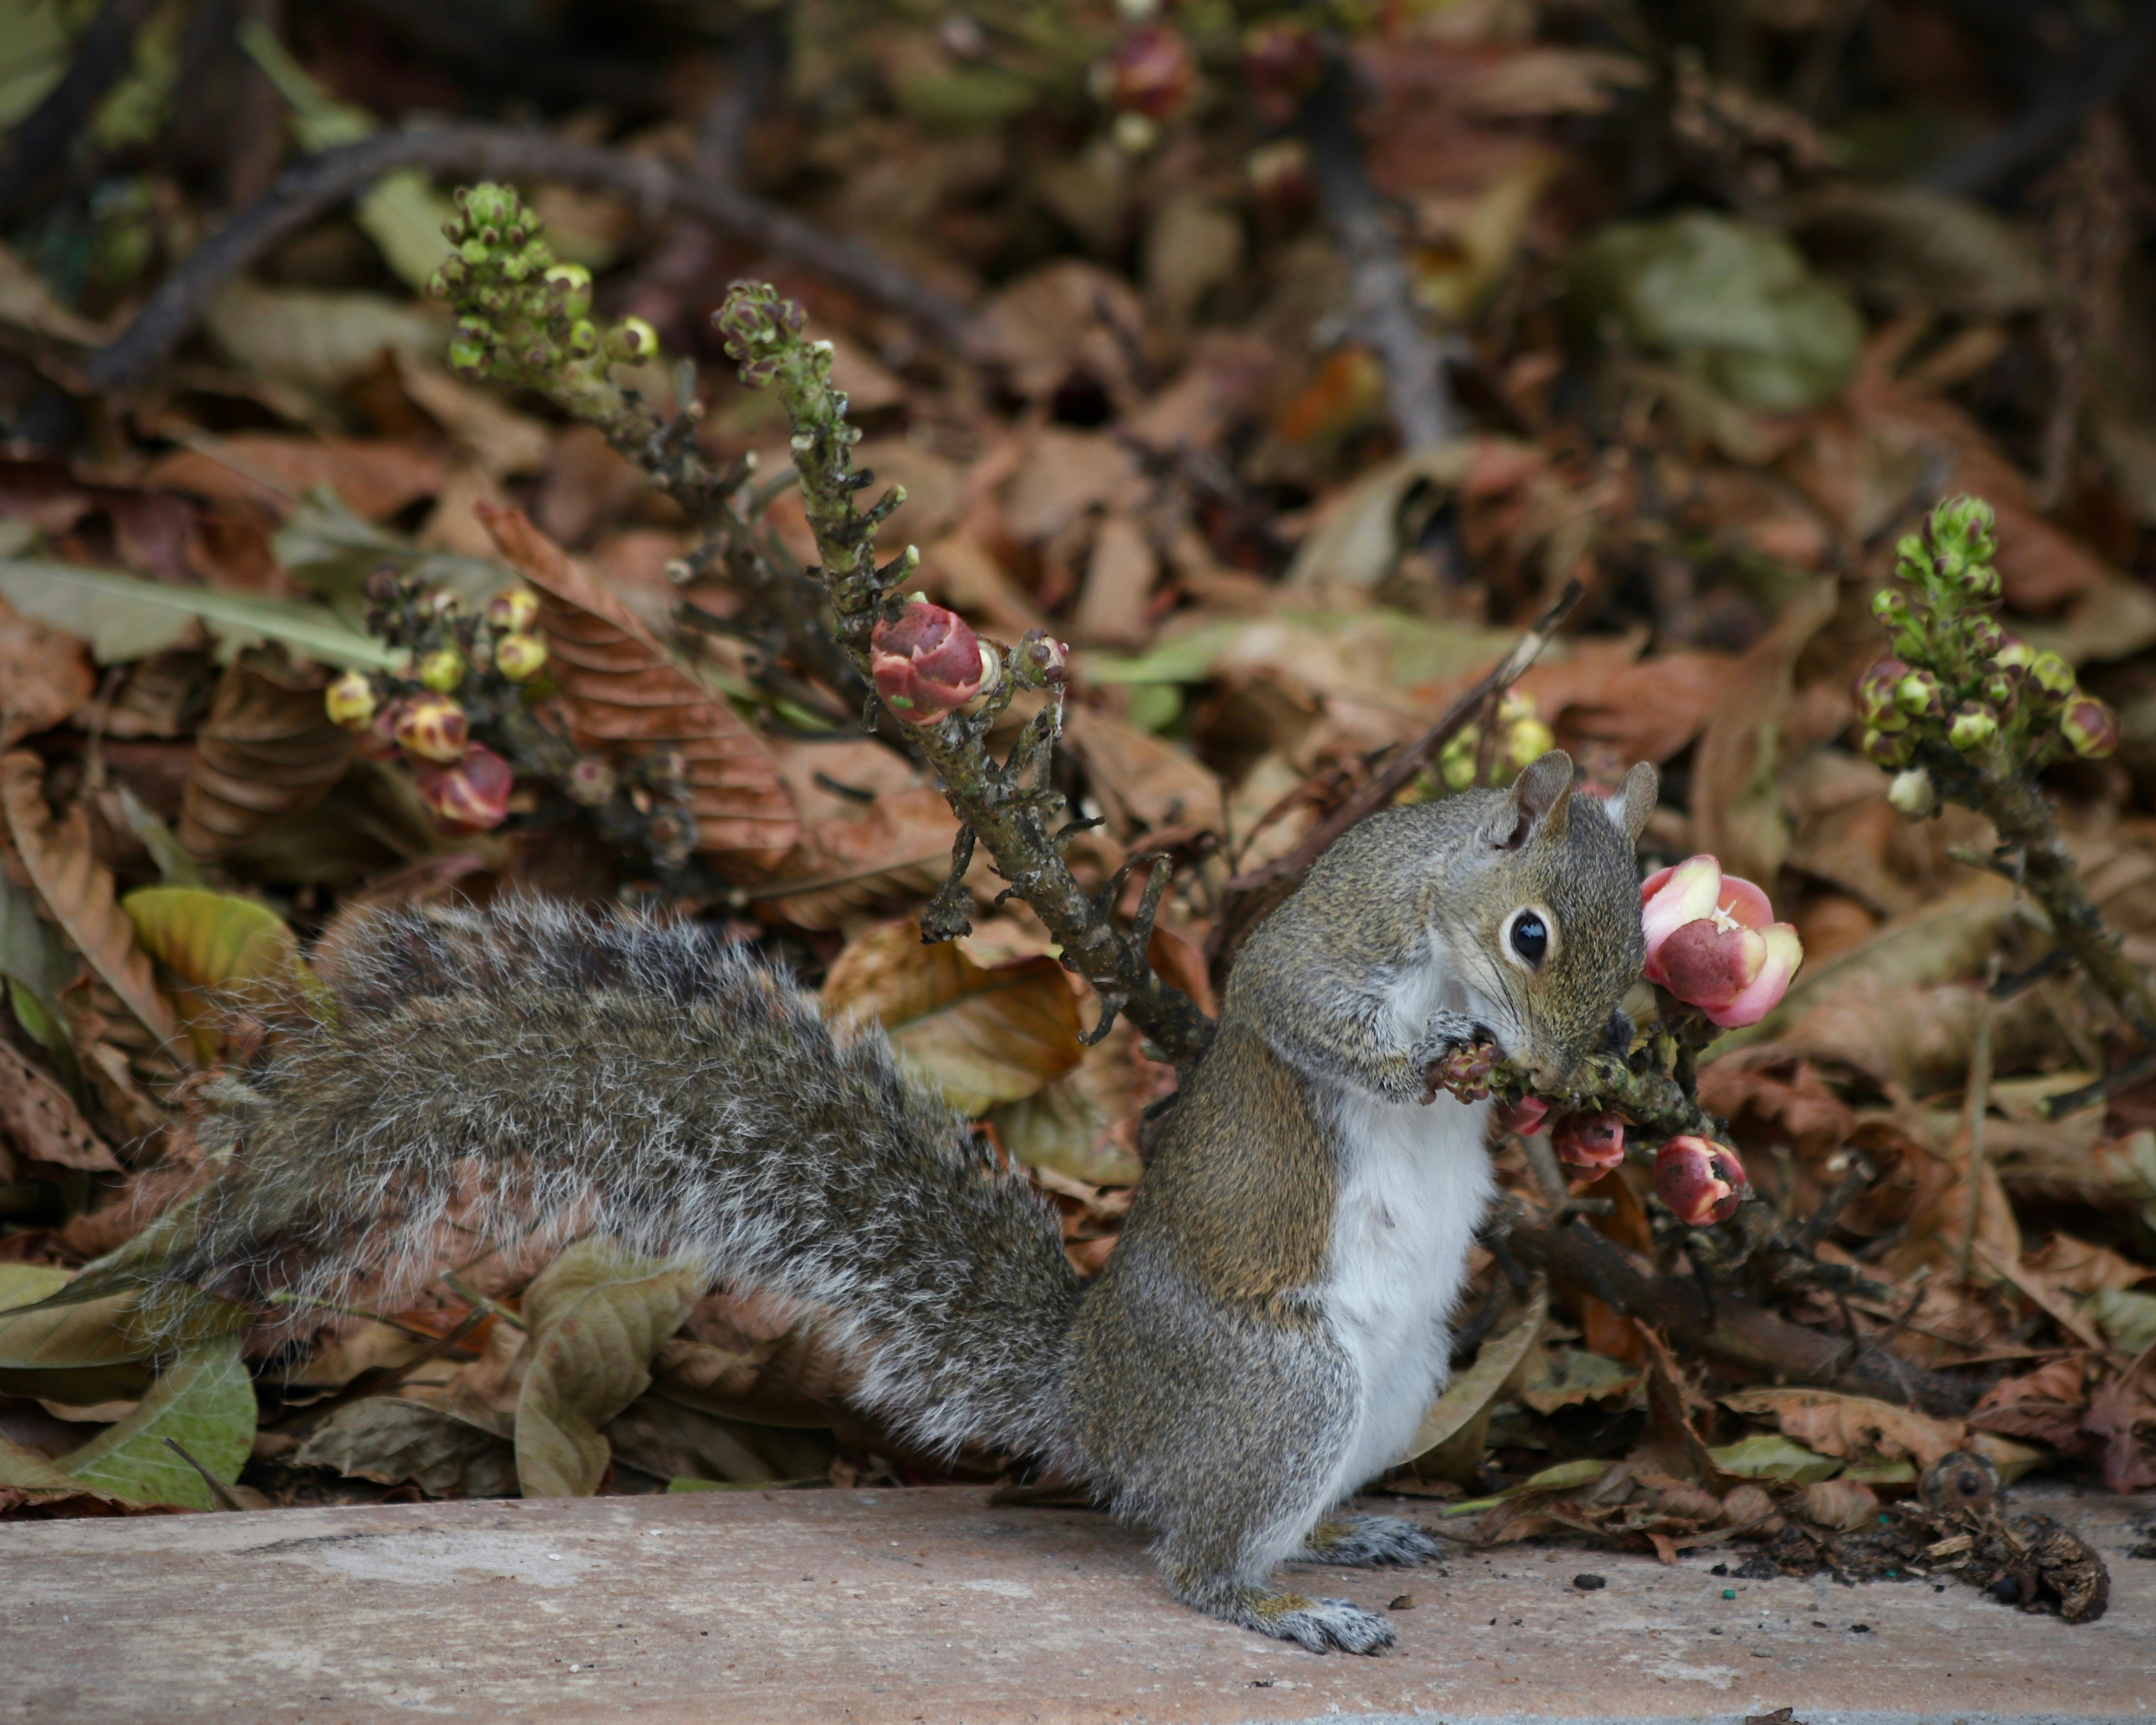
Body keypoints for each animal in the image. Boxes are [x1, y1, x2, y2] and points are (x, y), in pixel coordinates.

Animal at [132, 747, 1656, 1655]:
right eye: (1530, 933)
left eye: (1637, 951)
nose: (1563, 1069)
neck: (1441, 908)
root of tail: (1096, 1395)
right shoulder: (1327, 945)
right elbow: (1302, 1012)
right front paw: (1432, 1060)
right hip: (1284, 1385)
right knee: (1194, 1557)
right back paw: (1285, 1605)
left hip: (1399, 1381)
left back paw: (1351, 1530)